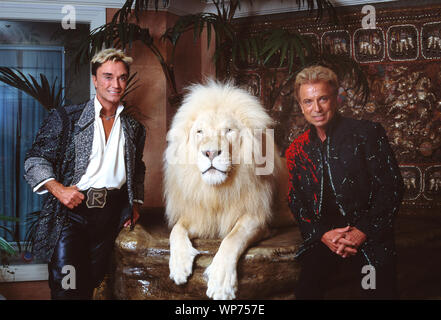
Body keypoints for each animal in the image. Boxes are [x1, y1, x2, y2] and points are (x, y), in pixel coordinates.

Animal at [162, 80, 292, 300]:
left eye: (229, 130)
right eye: (200, 132)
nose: (210, 152)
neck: (218, 192)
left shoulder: (257, 218)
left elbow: (232, 238)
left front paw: (221, 283)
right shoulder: (201, 216)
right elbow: (176, 230)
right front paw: (179, 266)